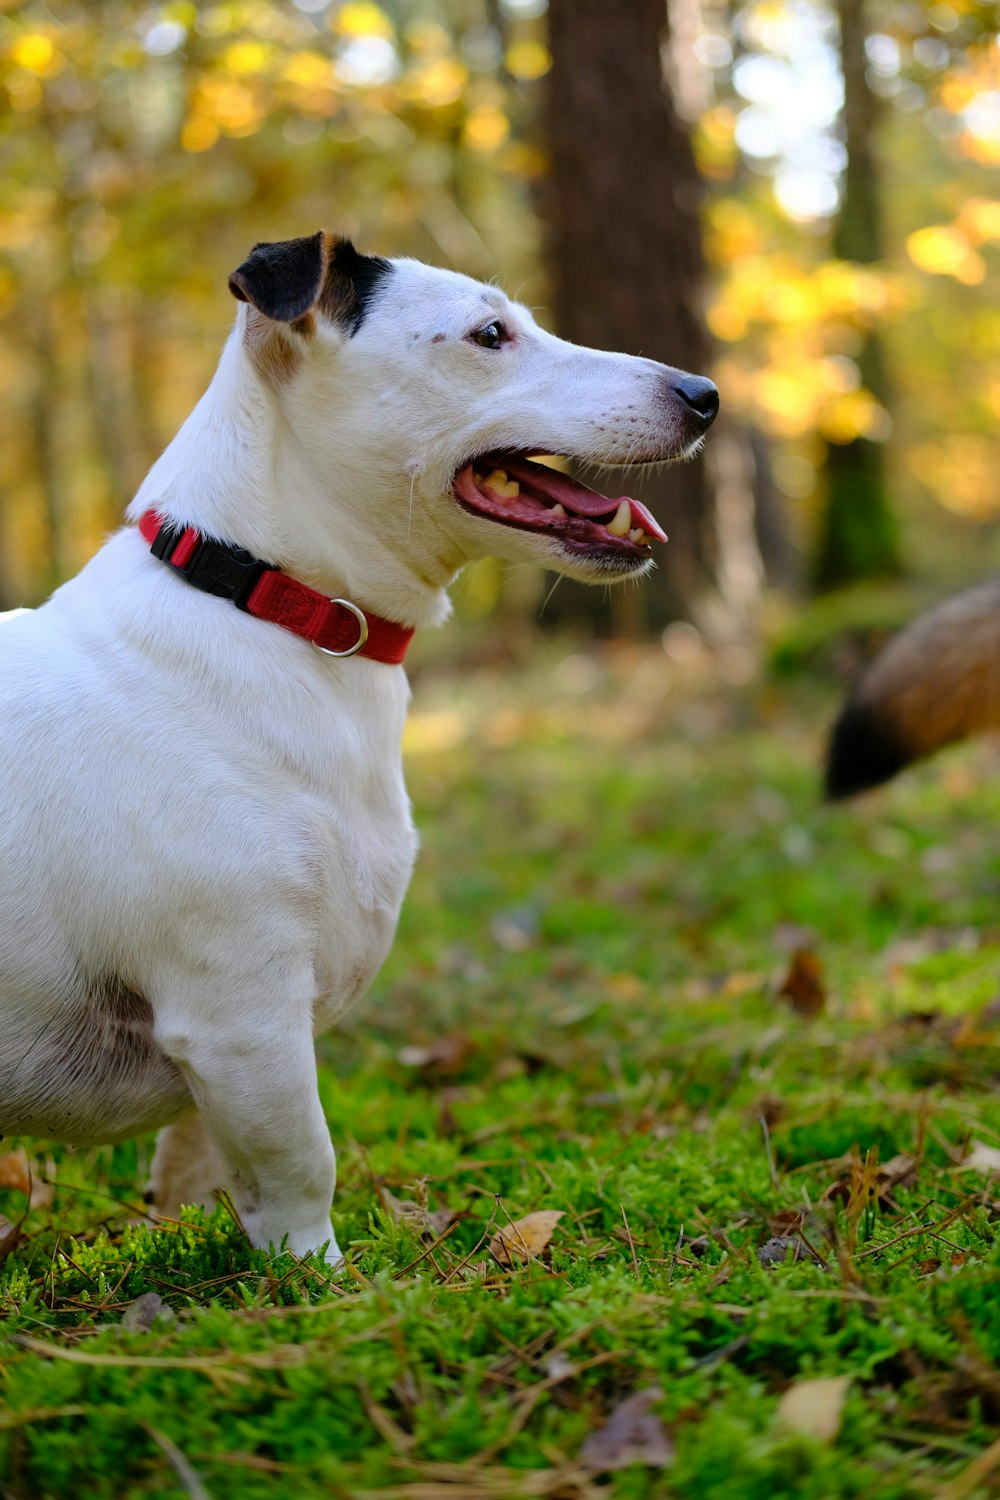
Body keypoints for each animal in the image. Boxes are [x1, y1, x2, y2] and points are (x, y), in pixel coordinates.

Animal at [0, 237, 719, 1266]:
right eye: (490, 333)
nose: (705, 394)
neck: (268, 604)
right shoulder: (242, 1016)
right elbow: (302, 1167)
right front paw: (320, 1282)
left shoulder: (224, 1053)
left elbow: (202, 1161)